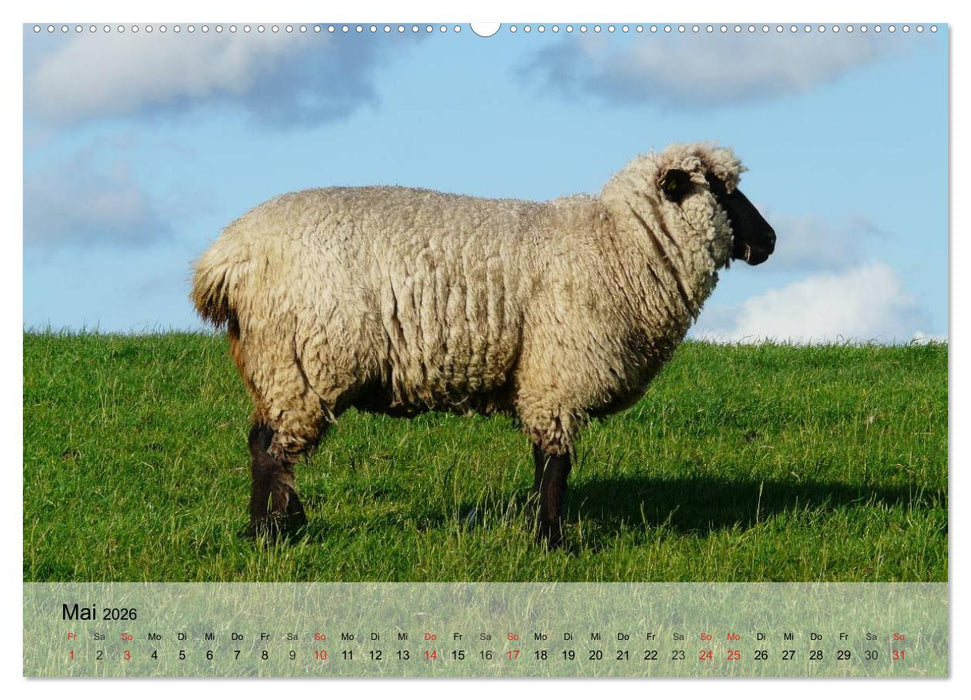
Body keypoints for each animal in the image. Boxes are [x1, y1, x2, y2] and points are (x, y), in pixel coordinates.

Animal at [191, 142, 776, 546]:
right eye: (718, 188)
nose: (769, 240)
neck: (619, 244)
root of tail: (226, 257)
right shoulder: (557, 373)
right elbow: (556, 463)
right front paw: (552, 542)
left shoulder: (542, 379)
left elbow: (545, 461)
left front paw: (543, 532)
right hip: (307, 359)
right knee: (271, 450)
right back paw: (271, 534)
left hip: (273, 364)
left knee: (261, 442)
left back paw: (273, 525)